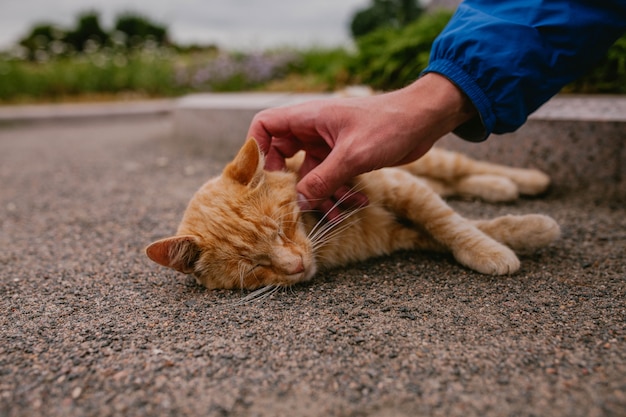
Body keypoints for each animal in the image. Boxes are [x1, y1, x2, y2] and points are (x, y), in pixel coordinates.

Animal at [147, 138, 560, 290]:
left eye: (282, 228)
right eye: (254, 267)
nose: (297, 266)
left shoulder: (401, 187)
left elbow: (450, 223)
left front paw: (501, 245)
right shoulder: (399, 232)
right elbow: (457, 227)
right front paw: (522, 233)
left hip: (421, 160)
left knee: (461, 167)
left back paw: (527, 180)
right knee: (456, 182)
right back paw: (497, 187)